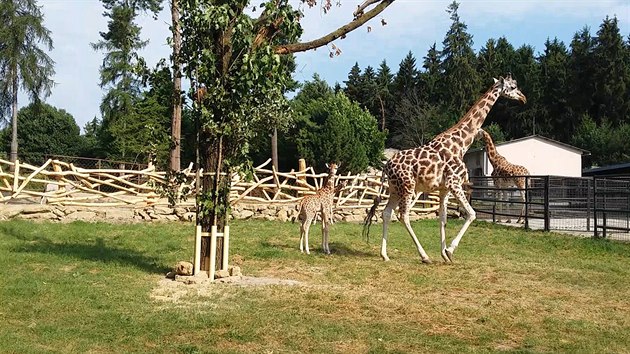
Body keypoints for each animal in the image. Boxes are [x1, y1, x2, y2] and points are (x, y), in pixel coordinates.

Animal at [366, 74, 528, 262]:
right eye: (513, 86)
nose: (523, 98)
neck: (461, 144)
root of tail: (387, 166)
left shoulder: (444, 188)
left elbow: (443, 218)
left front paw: (444, 253)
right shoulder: (454, 183)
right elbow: (471, 214)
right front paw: (450, 250)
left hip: (395, 189)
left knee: (386, 213)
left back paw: (384, 255)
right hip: (408, 187)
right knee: (403, 215)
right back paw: (424, 256)